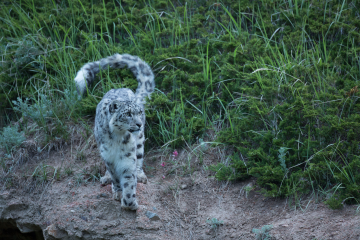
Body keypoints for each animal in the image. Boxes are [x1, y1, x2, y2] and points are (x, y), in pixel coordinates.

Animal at [74, 53, 155, 209]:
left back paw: (141, 175)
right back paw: (105, 178)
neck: (117, 139)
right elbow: (115, 177)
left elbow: (129, 179)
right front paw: (118, 192)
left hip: (139, 142)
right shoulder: (109, 157)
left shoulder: (128, 157)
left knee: (140, 159)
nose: (139, 124)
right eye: (128, 113)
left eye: (139, 112)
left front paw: (129, 202)